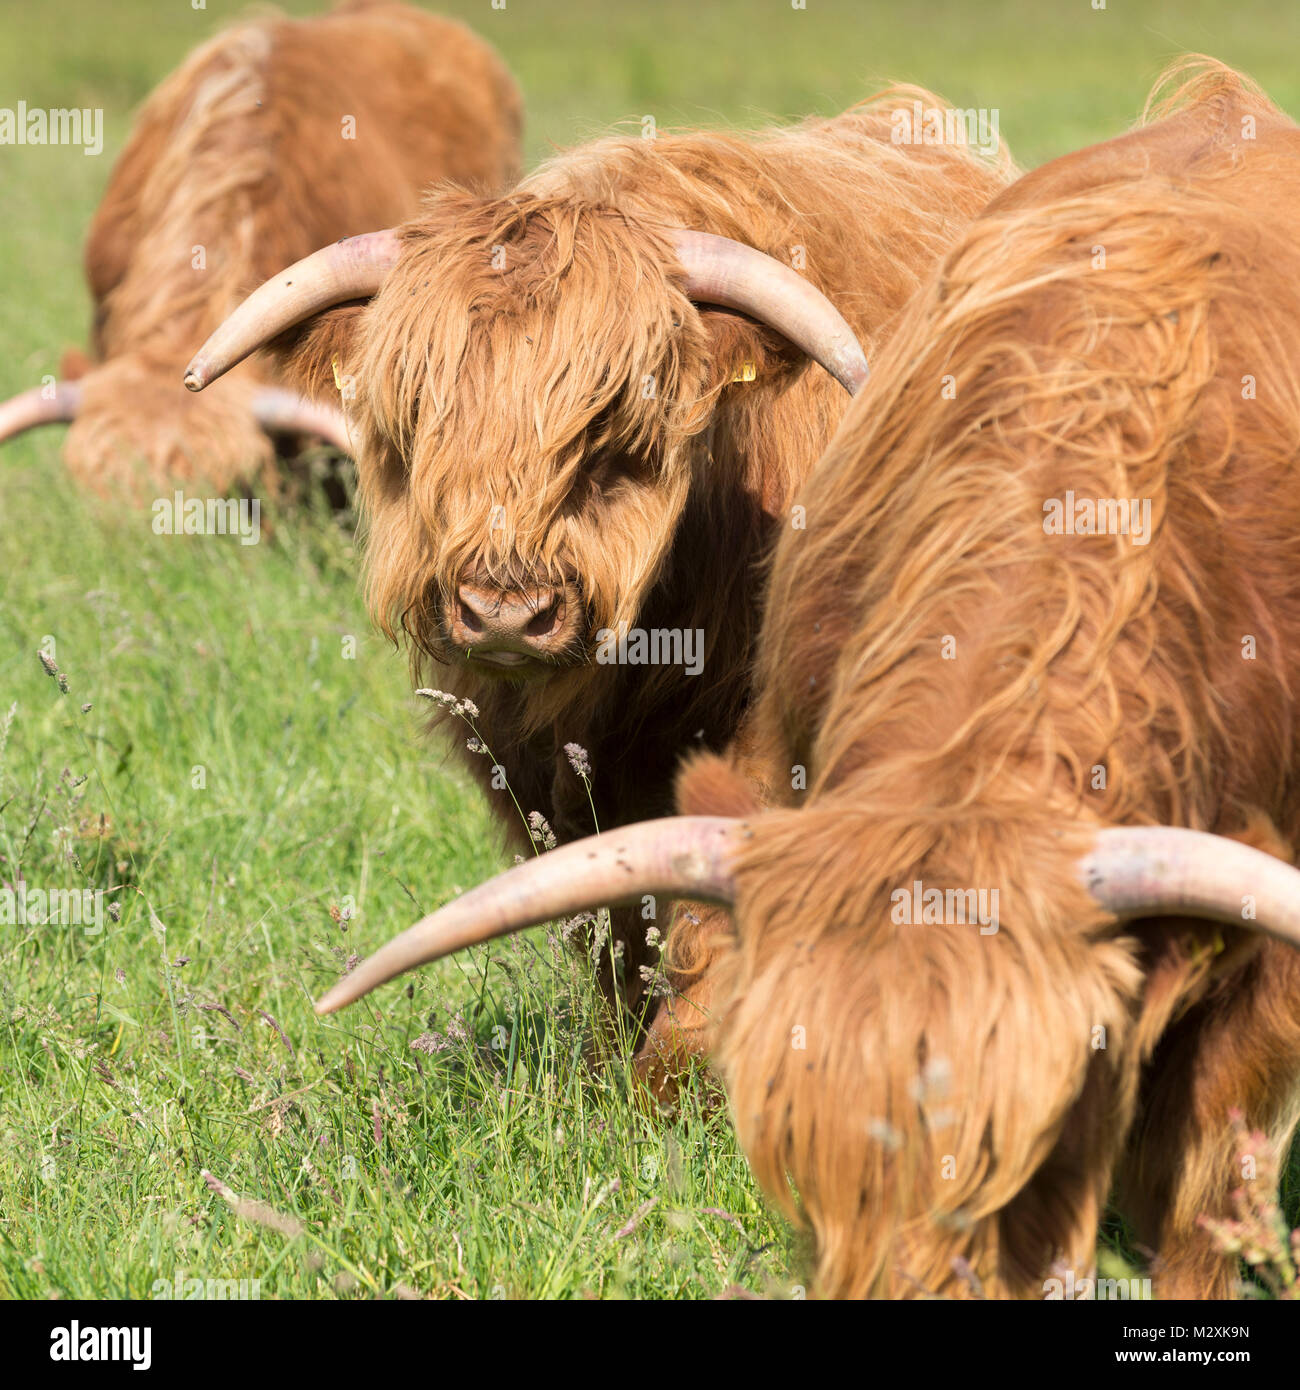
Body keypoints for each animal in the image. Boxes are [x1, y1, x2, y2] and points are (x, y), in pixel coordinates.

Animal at [183, 86, 1017, 1084]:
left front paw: (680, 1069)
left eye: (615, 430)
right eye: (418, 418)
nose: (506, 612)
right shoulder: (527, 758)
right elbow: (608, 905)